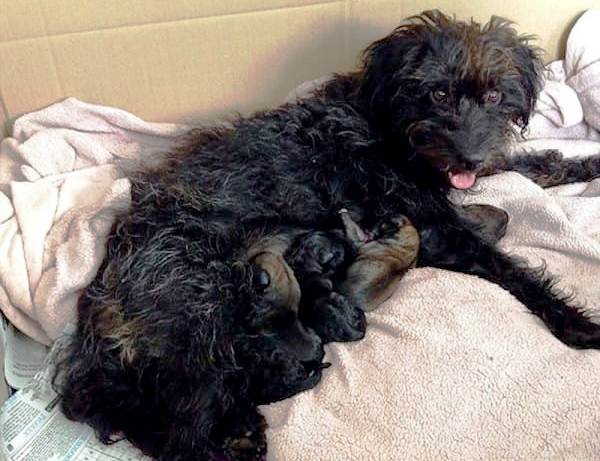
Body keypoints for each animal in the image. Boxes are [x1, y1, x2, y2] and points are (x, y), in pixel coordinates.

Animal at [54, 10, 600, 460]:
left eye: (493, 95)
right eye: (438, 93)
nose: (468, 155)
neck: (385, 122)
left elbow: (529, 163)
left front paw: (585, 163)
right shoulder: (434, 229)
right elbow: (511, 267)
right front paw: (575, 321)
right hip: (203, 315)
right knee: (183, 436)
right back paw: (240, 441)